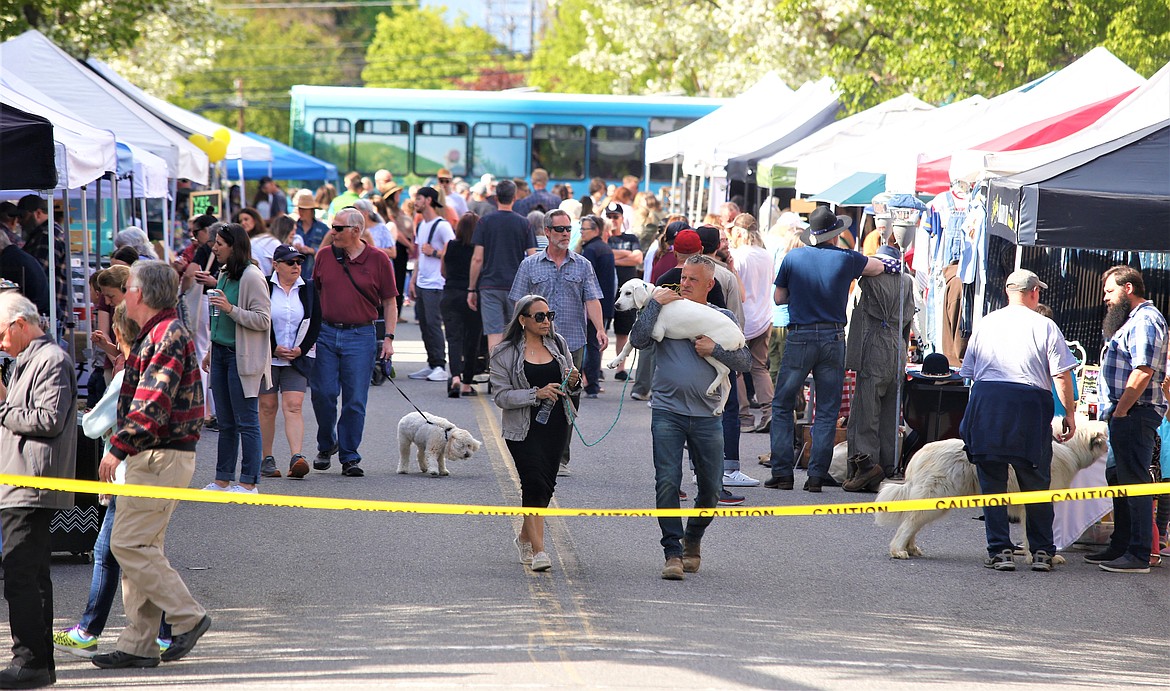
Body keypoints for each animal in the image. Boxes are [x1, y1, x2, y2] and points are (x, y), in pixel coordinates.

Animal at [608, 277, 744, 416]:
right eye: (620, 292)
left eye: (628, 293)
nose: (616, 305)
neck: (651, 296)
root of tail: (740, 336)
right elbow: (629, 342)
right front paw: (615, 361)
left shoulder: (658, 332)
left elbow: (631, 335)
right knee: (727, 384)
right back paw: (719, 408)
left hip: (707, 349)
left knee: (724, 370)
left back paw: (711, 389)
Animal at [879, 418, 1104, 558]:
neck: (1068, 446)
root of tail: (918, 455)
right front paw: (1041, 556)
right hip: (936, 497)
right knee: (909, 523)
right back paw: (898, 550)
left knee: (912, 522)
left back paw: (911, 548)